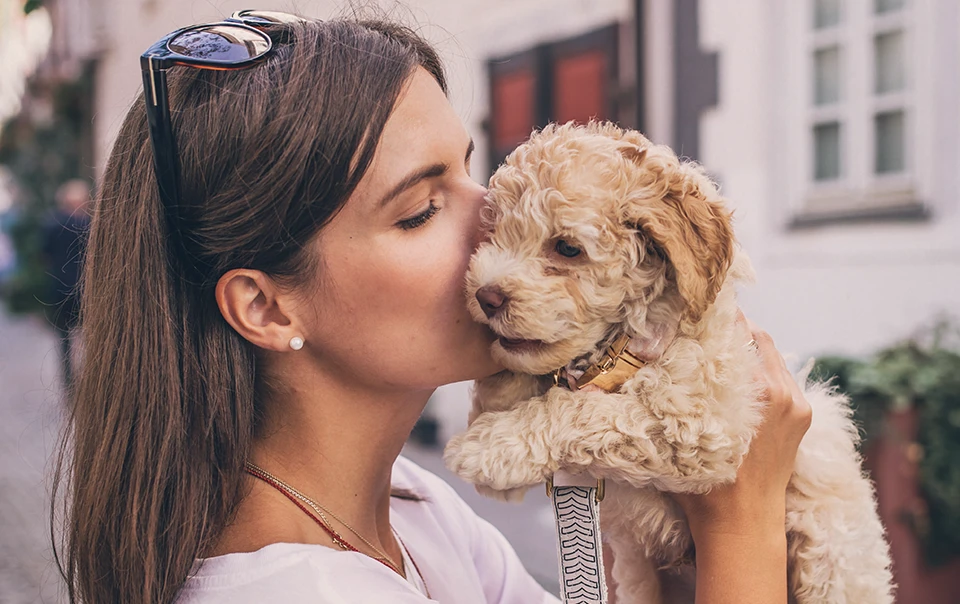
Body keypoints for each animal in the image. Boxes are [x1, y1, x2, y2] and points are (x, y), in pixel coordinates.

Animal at [446, 121, 896, 604]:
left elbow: (584, 410)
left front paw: (485, 445)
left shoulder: (701, 425)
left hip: (832, 565)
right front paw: (501, 390)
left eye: (567, 248)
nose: (485, 297)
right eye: (492, 233)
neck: (621, 348)